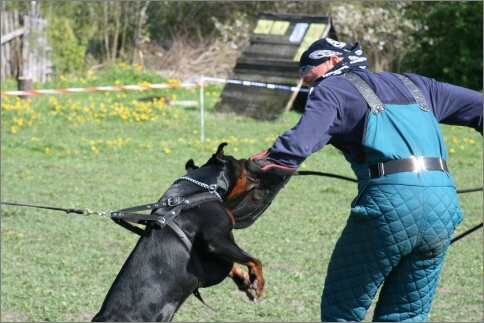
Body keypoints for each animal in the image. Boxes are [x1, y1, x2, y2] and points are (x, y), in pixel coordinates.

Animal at [91, 144, 264, 322]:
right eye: (237, 161)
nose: (247, 159)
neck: (198, 190)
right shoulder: (215, 241)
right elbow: (254, 260)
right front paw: (257, 282)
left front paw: (243, 279)